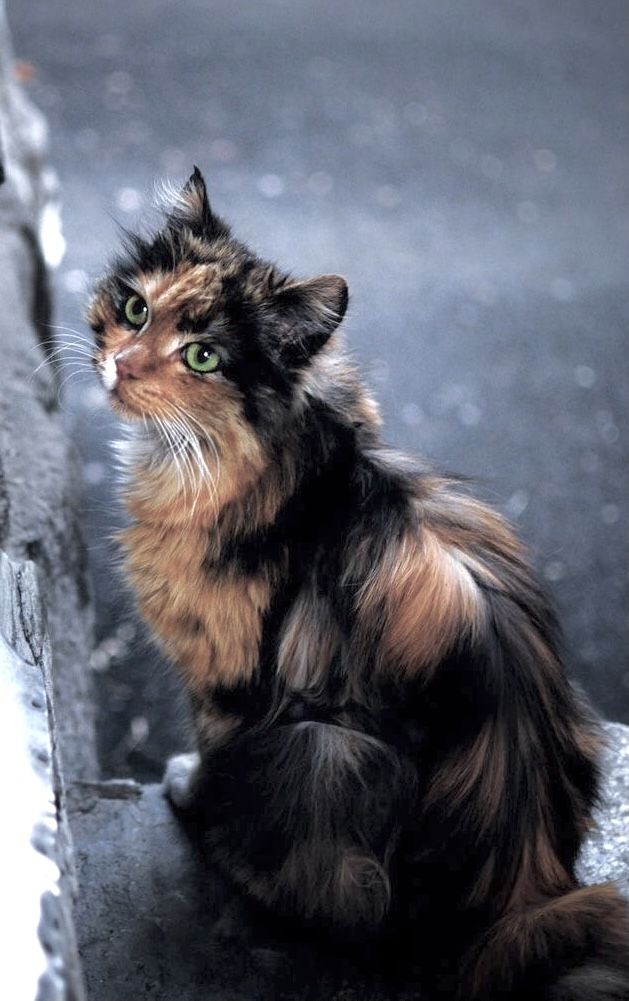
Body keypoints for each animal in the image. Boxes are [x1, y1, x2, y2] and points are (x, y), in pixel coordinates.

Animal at [88, 168, 629, 996]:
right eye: (135, 309)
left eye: (203, 356)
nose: (120, 364)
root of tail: (521, 894)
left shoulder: (228, 679)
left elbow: (211, 755)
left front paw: (189, 793)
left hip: (321, 747)